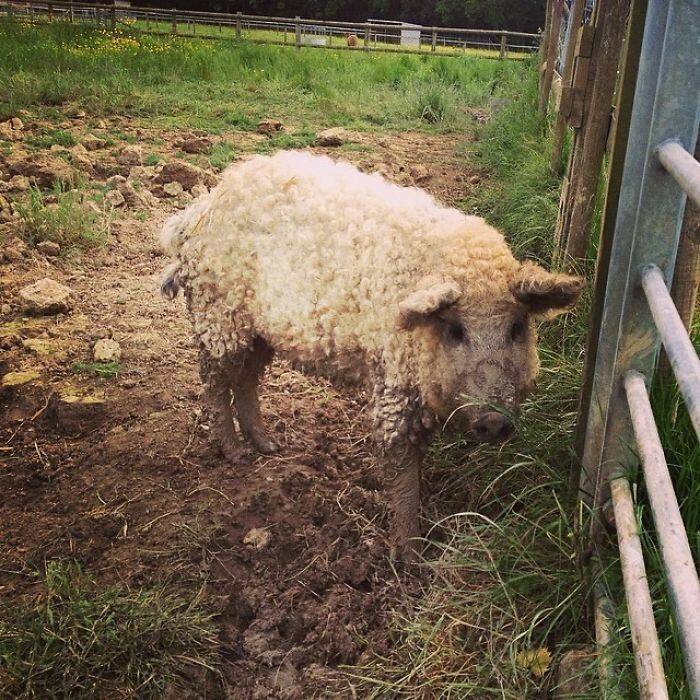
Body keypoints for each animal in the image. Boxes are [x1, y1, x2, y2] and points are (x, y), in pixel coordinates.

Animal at [161, 150, 584, 556]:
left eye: (517, 328)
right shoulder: (393, 382)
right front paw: (410, 556)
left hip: (258, 330)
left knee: (247, 377)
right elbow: (400, 465)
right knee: (214, 381)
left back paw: (270, 446)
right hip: (218, 314)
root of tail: (198, 211)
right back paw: (237, 454)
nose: (494, 420)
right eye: (455, 330)